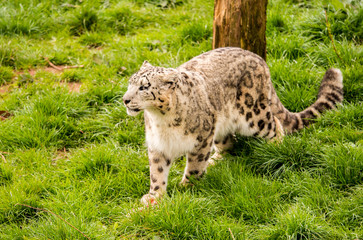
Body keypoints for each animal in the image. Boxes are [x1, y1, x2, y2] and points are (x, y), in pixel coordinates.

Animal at [122, 47, 344, 206]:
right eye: (130, 83)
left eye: (143, 87)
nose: (125, 99)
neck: (161, 121)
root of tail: (260, 60)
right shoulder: (157, 145)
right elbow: (157, 172)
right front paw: (154, 196)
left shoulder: (202, 138)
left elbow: (195, 166)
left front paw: (186, 188)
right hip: (221, 126)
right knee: (229, 143)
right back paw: (215, 161)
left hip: (254, 115)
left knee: (275, 125)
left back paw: (276, 150)